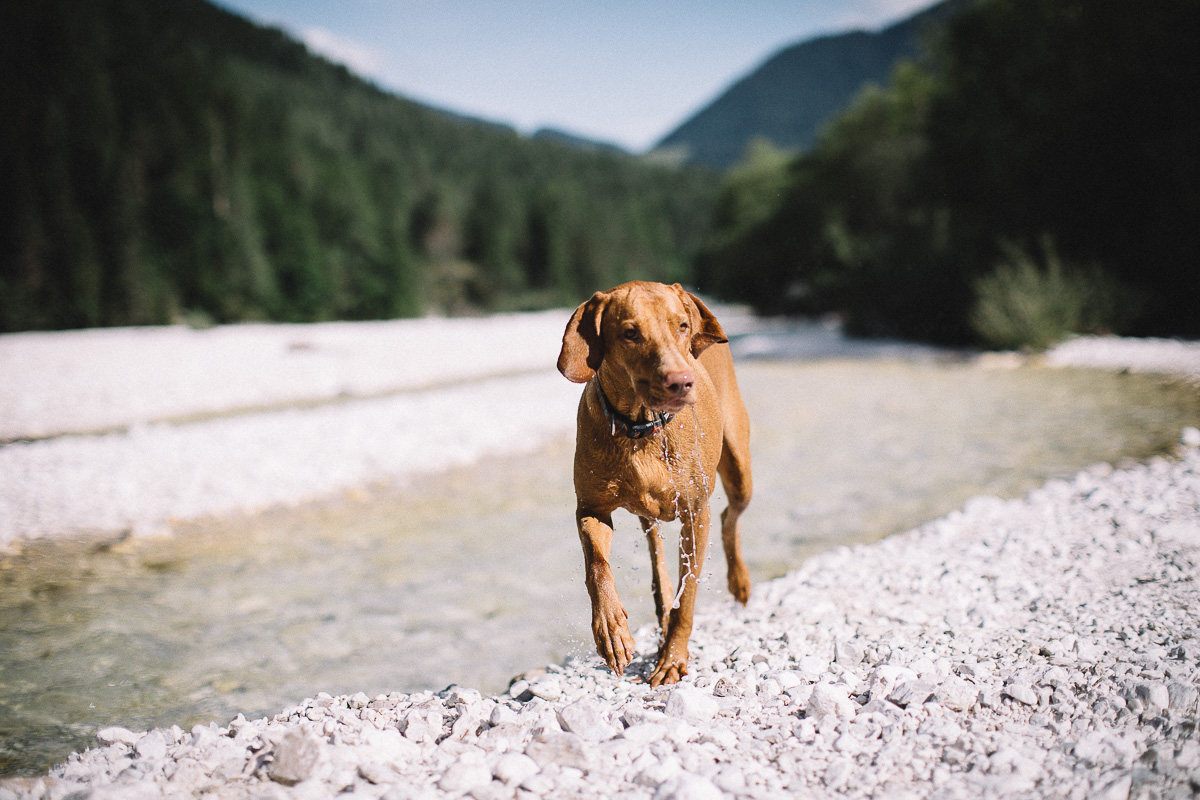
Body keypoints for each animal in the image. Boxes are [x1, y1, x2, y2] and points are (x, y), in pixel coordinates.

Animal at [554, 281, 748, 690]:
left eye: (682, 326)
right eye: (630, 333)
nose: (682, 382)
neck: (640, 427)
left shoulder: (695, 513)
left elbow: (688, 595)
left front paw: (673, 659)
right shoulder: (591, 509)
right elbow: (597, 566)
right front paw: (611, 630)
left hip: (739, 471)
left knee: (729, 516)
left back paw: (739, 581)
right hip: (650, 514)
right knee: (658, 559)